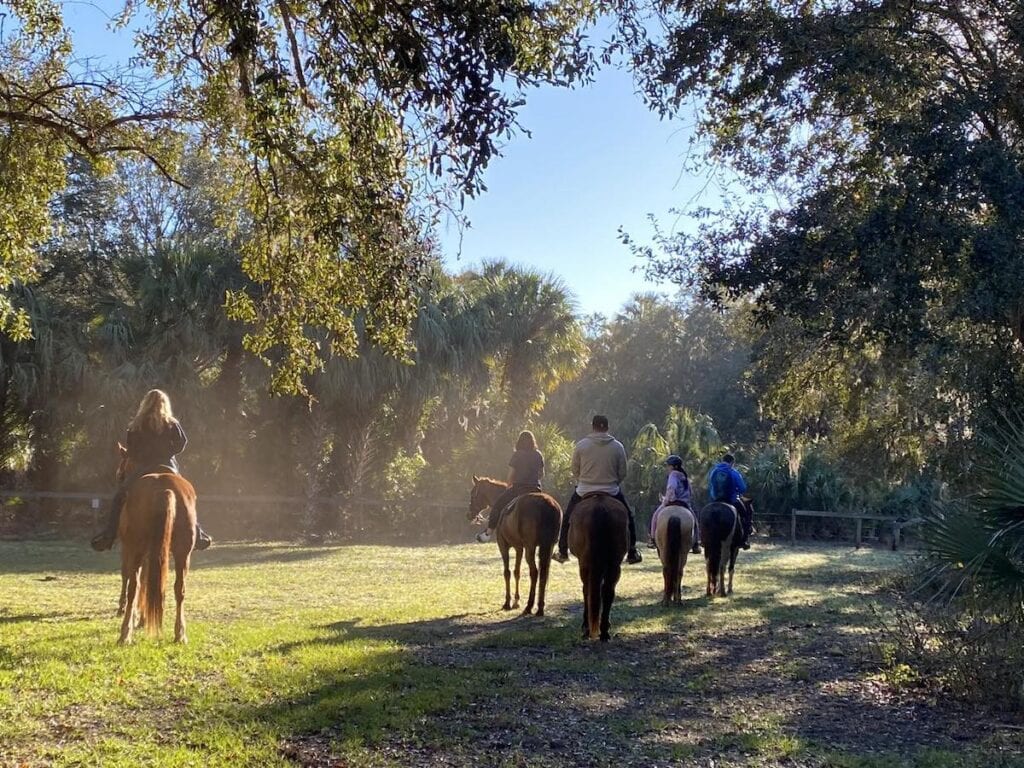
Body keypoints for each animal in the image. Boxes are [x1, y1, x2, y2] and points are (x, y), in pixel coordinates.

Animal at [116, 448, 197, 647]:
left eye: (121, 473)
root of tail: (163, 489)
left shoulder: (128, 548)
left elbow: (129, 577)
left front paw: (133, 615)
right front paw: (144, 617)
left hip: (136, 548)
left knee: (133, 587)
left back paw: (125, 634)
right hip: (183, 552)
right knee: (179, 588)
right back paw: (180, 634)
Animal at [468, 475, 561, 618]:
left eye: (473, 493)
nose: (469, 514)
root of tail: (547, 504)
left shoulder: (503, 546)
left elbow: (507, 572)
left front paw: (507, 603)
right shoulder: (519, 548)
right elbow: (517, 572)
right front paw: (516, 601)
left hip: (531, 547)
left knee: (534, 572)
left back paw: (529, 607)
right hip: (548, 546)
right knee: (544, 573)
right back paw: (540, 608)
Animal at [565, 495, 626, 638]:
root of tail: (600, 507)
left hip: (585, 563)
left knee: (587, 590)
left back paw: (588, 628)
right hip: (614, 564)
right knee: (608, 591)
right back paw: (604, 631)